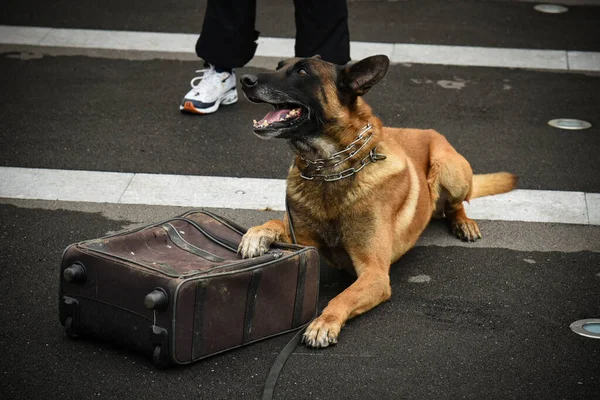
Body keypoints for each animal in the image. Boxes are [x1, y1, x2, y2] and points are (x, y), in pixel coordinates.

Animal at [237, 54, 516, 348]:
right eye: (279, 66)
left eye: (302, 71)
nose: (245, 80)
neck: (328, 170)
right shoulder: (301, 238)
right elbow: (274, 222)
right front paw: (256, 235)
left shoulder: (375, 273)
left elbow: (342, 296)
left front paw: (324, 322)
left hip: (449, 168)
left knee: (456, 204)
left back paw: (464, 223)